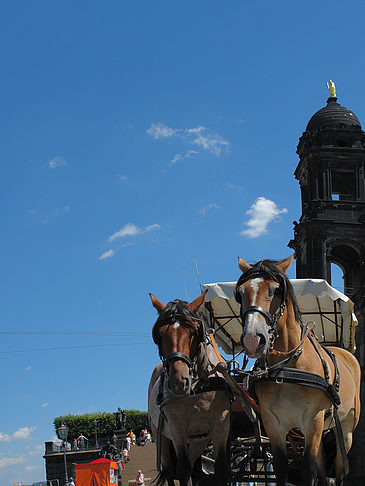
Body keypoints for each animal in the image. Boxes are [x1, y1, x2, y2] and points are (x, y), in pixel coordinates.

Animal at [146, 292, 229, 486]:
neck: (197, 388)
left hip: (199, 439)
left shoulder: (222, 425)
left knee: (191, 465)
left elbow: (221, 470)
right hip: (160, 435)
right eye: (160, 334)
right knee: (170, 469)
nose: (178, 381)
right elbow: (182, 471)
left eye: (193, 332)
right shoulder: (177, 431)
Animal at [235, 256, 360, 484]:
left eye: (275, 290)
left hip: (345, 428)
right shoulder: (272, 422)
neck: (287, 367)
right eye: (240, 293)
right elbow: (281, 467)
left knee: (339, 468)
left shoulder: (313, 419)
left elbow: (309, 468)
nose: (251, 339)